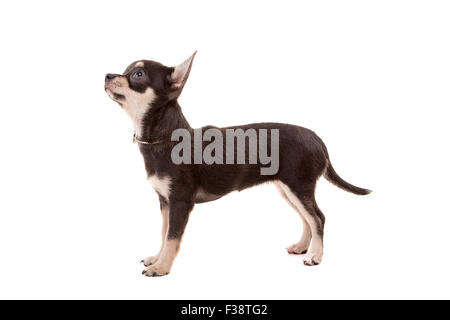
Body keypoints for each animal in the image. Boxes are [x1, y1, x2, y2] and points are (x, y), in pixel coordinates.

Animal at [105, 51, 372, 276]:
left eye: (138, 75)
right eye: (126, 69)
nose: (107, 75)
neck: (165, 137)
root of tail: (317, 139)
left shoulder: (180, 201)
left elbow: (172, 236)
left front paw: (161, 268)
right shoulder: (165, 201)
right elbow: (163, 232)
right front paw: (157, 258)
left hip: (298, 186)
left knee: (318, 217)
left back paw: (315, 256)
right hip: (288, 189)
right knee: (307, 218)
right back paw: (302, 247)